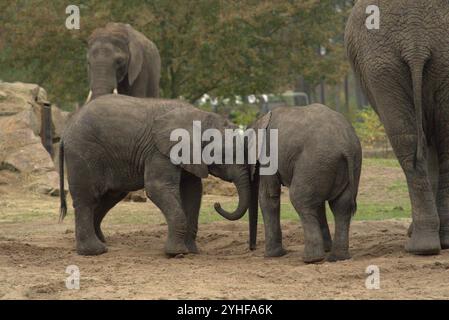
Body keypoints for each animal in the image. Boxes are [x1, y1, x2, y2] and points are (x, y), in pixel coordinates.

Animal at [57, 95, 250, 258]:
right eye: (225, 153)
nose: (217, 204)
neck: (199, 117)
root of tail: (65, 130)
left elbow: (193, 193)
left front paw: (192, 252)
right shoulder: (159, 152)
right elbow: (157, 188)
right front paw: (176, 253)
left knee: (109, 197)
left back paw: (104, 242)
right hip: (83, 153)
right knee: (87, 199)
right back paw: (95, 251)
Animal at [247, 105, 362, 262]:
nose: (252, 248)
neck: (261, 119)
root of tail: (346, 146)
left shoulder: (268, 155)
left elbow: (268, 197)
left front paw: (273, 255)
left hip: (314, 162)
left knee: (300, 200)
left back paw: (311, 259)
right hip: (344, 164)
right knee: (341, 206)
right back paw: (337, 257)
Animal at [344, 0, 446, 255]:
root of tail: (416, 43)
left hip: (381, 63)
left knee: (409, 140)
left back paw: (422, 246)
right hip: (387, 64)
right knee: (426, 139)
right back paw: (429, 245)